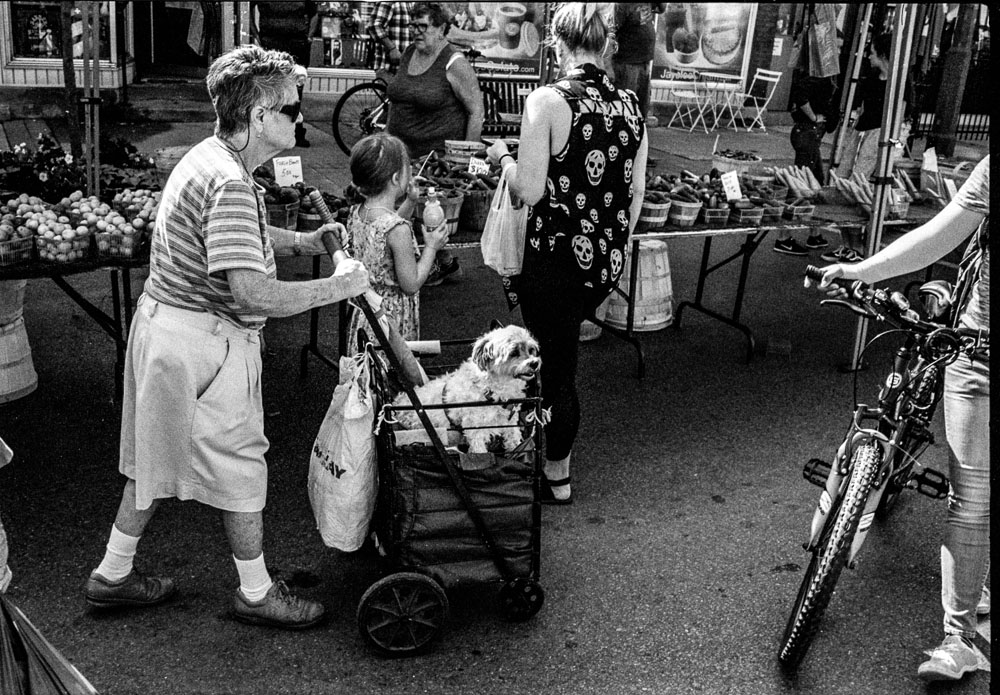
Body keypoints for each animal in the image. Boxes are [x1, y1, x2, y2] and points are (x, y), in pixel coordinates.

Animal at [394, 324, 544, 454]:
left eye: (531, 350)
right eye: (513, 352)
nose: (534, 363)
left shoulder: (510, 423)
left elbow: (514, 441)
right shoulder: (476, 429)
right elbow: (480, 453)